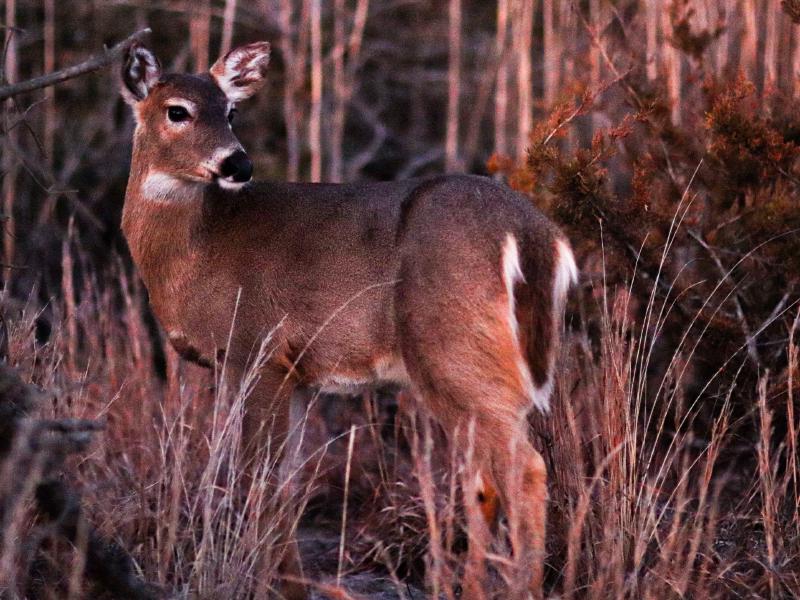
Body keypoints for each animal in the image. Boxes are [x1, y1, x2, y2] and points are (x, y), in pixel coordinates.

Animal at [119, 40, 576, 600]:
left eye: (230, 111)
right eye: (177, 111)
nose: (238, 163)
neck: (194, 252)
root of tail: (535, 238)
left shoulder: (255, 348)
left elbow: (257, 479)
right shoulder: (295, 375)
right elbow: (286, 484)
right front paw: (290, 585)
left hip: (456, 355)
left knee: (522, 471)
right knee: (485, 481)